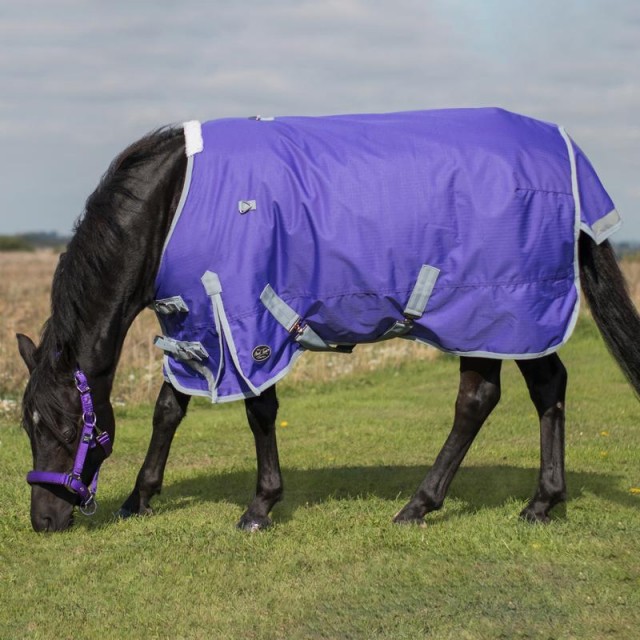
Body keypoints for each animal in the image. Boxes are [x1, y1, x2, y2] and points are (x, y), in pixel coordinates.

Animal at [17, 108, 640, 533]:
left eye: (68, 431)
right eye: (28, 427)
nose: (44, 521)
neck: (173, 202)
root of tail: (564, 151)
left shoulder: (247, 323)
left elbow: (259, 412)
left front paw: (260, 505)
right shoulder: (194, 325)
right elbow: (168, 409)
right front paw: (139, 498)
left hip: (491, 312)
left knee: (477, 401)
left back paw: (420, 504)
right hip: (520, 317)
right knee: (545, 388)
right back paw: (542, 501)